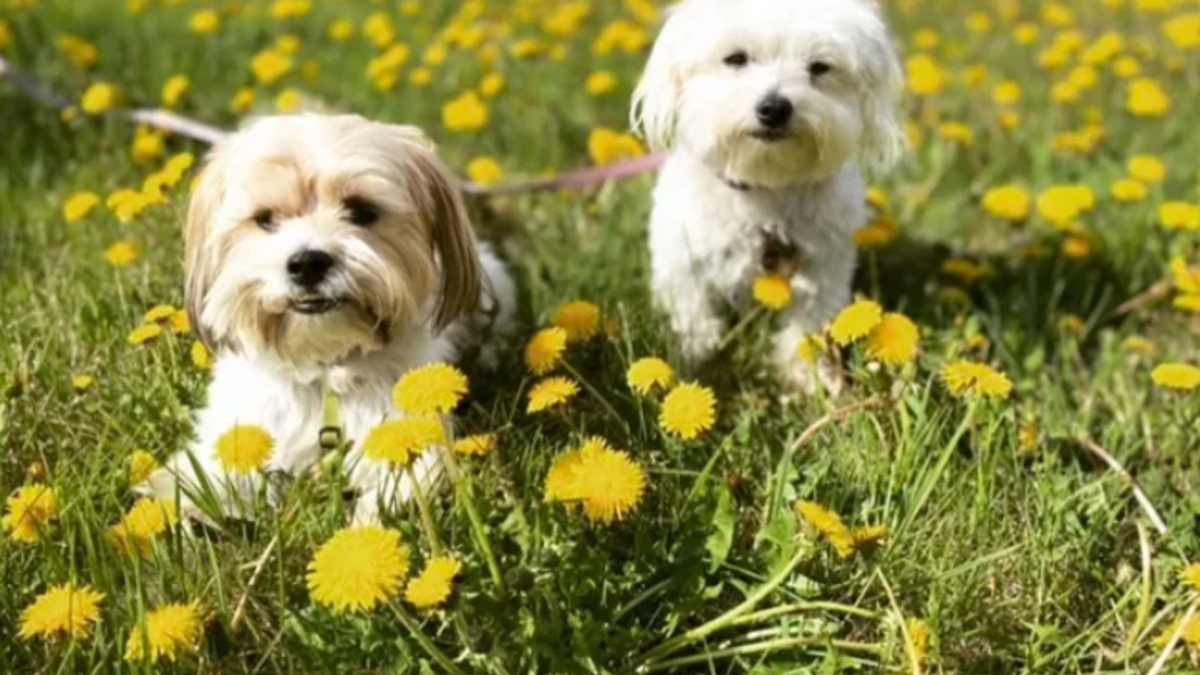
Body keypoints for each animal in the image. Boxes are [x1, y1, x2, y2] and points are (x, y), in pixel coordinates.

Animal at [146, 114, 516, 521]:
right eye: (265, 220)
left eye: (362, 212)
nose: (308, 262)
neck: (325, 370)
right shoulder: (244, 424)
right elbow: (198, 480)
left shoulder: (407, 436)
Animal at [638, 0, 902, 386]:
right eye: (736, 58)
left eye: (819, 67)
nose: (775, 108)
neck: (765, 188)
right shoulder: (683, 261)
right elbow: (692, 313)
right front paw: (694, 358)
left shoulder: (823, 267)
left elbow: (805, 327)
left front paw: (805, 377)